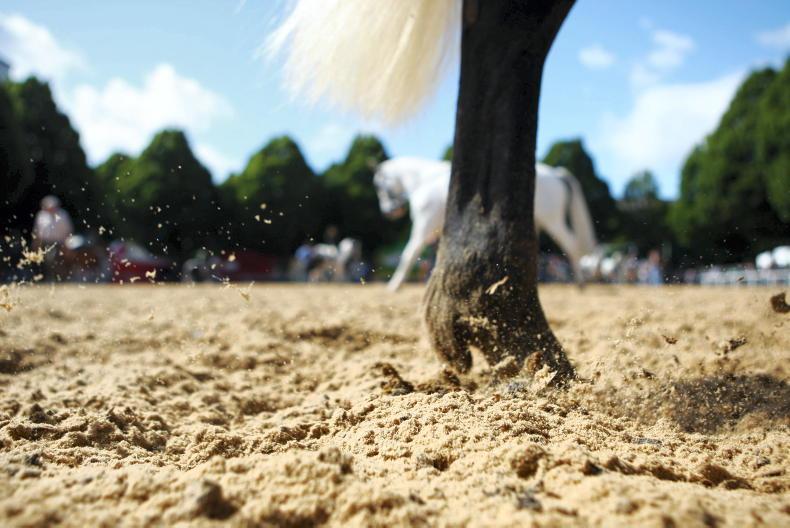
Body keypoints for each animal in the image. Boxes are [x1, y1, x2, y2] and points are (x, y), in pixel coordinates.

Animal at [374, 157, 597, 291]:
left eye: (378, 186)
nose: (388, 212)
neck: (424, 181)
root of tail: (557, 173)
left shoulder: (423, 226)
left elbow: (408, 255)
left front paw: (393, 285)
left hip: (553, 220)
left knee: (570, 245)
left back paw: (580, 283)